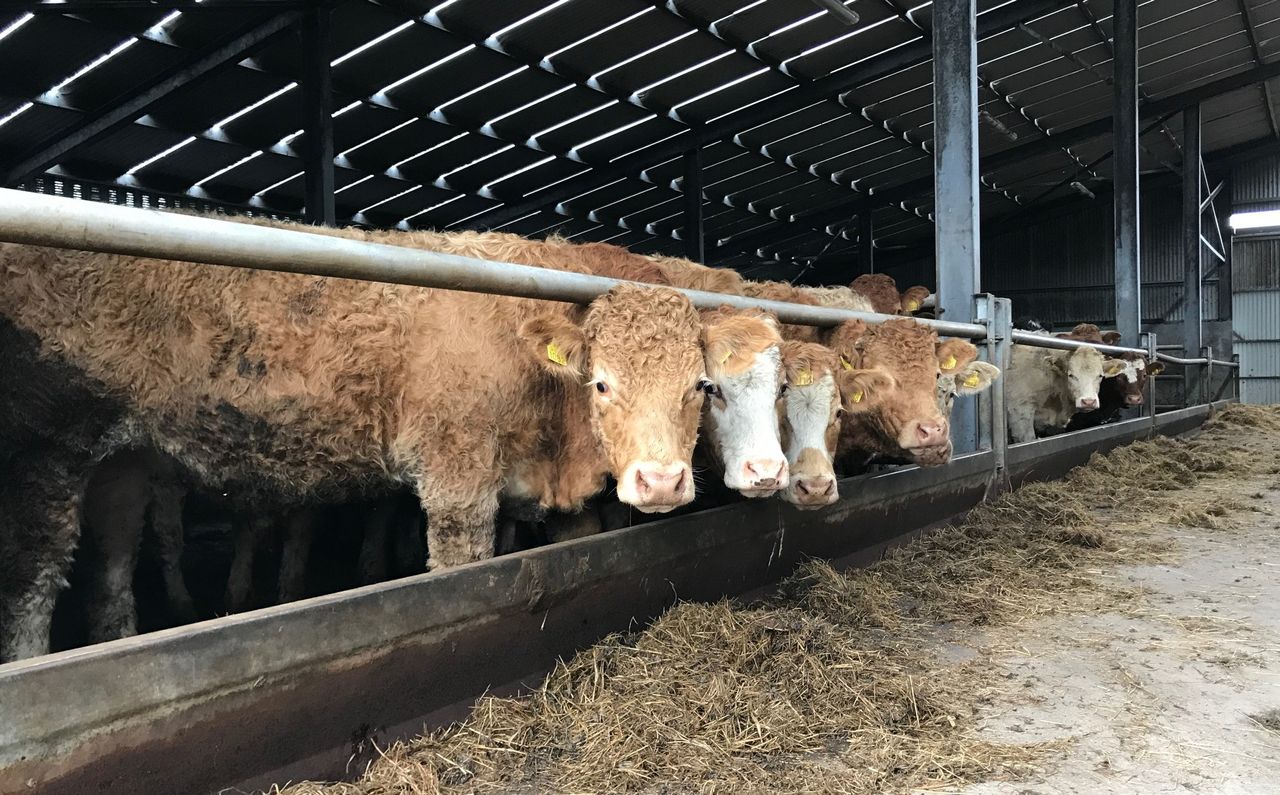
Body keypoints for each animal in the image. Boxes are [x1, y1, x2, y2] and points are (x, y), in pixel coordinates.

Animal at [0, 233, 717, 661]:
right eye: (603, 381)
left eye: (700, 385)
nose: (662, 480)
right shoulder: (458, 478)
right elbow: (463, 572)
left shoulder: (562, 496)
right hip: (48, 453)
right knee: (33, 580)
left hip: (123, 462)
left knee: (113, 558)